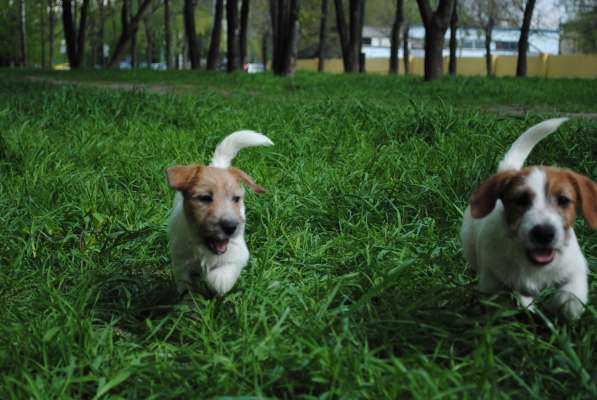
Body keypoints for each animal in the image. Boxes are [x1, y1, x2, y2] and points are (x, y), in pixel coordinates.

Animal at [165, 131, 272, 296]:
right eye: (205, 198)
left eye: (236, 199)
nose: (230, 227)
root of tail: (217, 165)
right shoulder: (181, 260)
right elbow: (186, 285)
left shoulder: (237, 255)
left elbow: (220, 278)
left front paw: (211, 282)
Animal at [460, 117, 592, 320]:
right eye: (520, 200)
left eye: (563, 200)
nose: (544, 233)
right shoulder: (492, 281)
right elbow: (501, 301)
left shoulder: (575, 267)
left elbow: (572, 292)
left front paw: (566, 308)